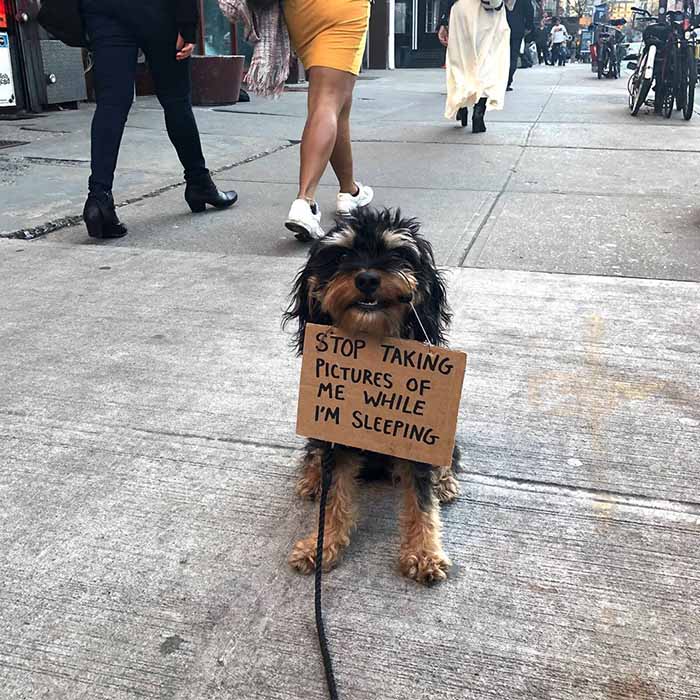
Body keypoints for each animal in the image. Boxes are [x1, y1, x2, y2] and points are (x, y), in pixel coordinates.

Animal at [282, 208, 462, 584]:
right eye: (342, 255)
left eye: (397, 254)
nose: (366, 278)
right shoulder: (334, 432)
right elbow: (335, 495)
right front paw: (322, 544)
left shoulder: (416, 434)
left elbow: (421, 500)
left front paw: (424, 553)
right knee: (313, 454)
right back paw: (312, 479)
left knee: (450, 456)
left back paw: (445, 481)